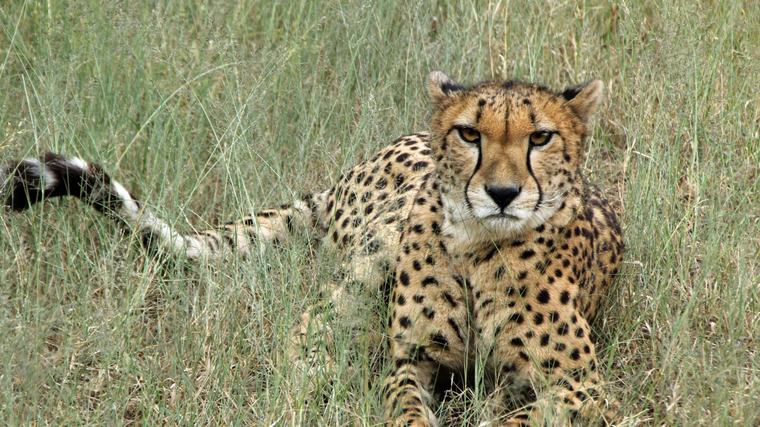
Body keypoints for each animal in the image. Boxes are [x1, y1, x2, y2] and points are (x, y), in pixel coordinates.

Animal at [1, 71, 623, 425]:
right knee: (306, 332)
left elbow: (520, 419)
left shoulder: (581, 387)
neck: (476, 246)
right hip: (373, 251)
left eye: (540, 137)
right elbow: (404, 404)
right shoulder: (410, 360)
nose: (501, 193)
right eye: (470, 134)